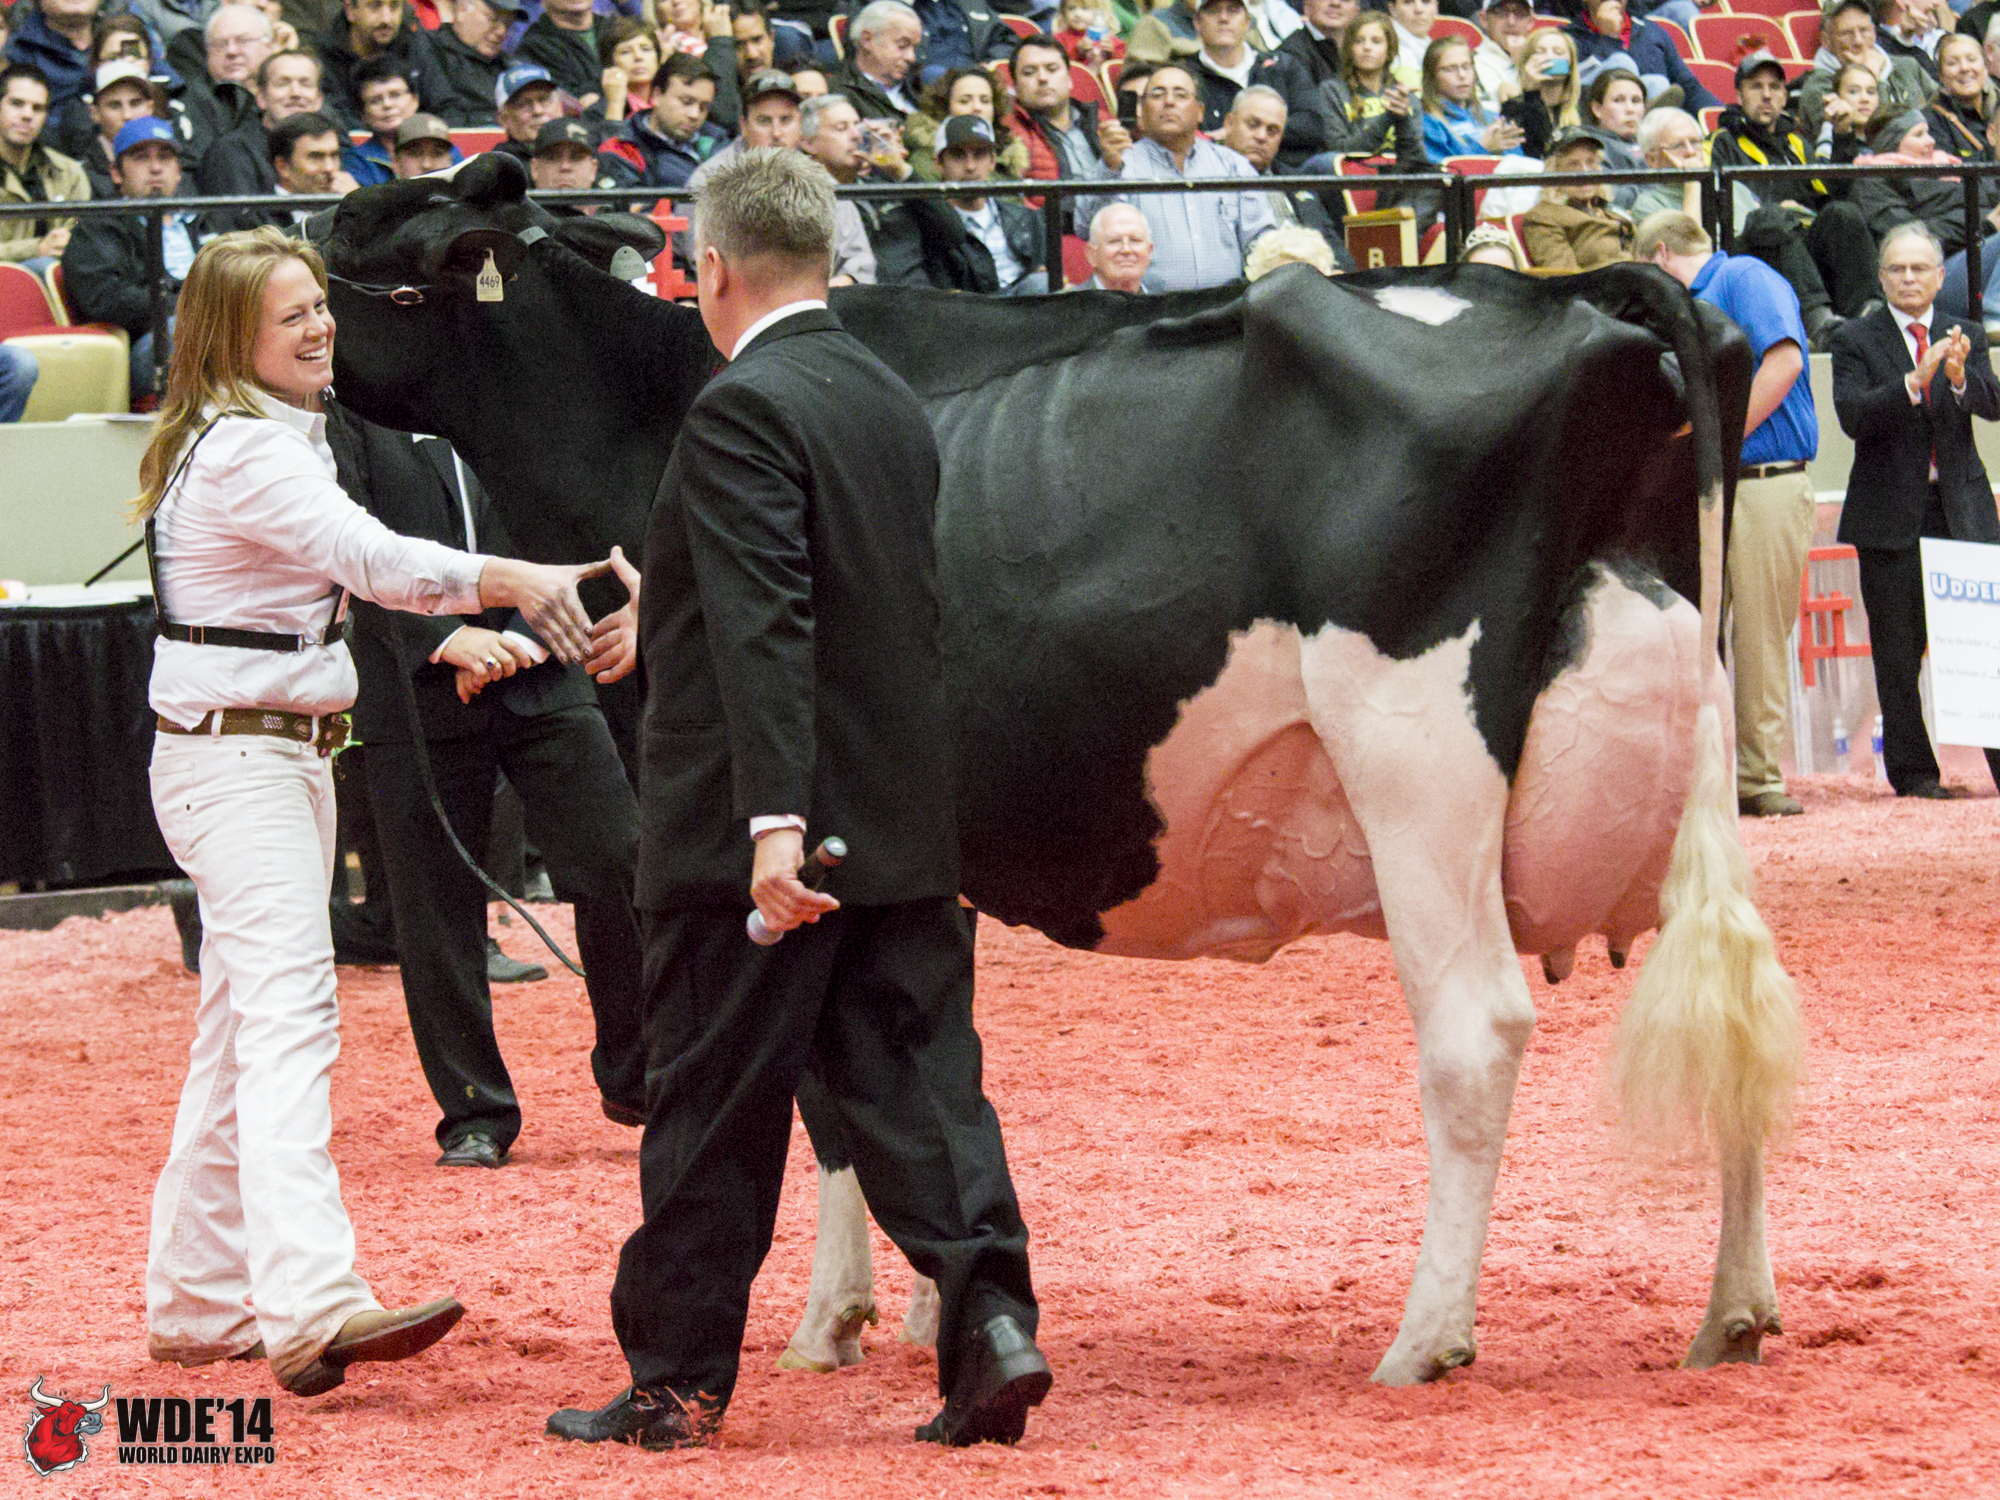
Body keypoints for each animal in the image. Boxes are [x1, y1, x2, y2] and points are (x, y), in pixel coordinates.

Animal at [313, 152, 1803, 1389]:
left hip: (1416, 756)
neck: (646, 409)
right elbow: (916, 1059)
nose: (285, 331)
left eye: (345, 233)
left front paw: (830, 1322)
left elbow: (821, 1087)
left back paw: (1425, 1339)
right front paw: (939, 1305)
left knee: (1475, 1030)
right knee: (1738, 997)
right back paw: (1732, 1312)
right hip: (1692, 751)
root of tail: (1598, 297)